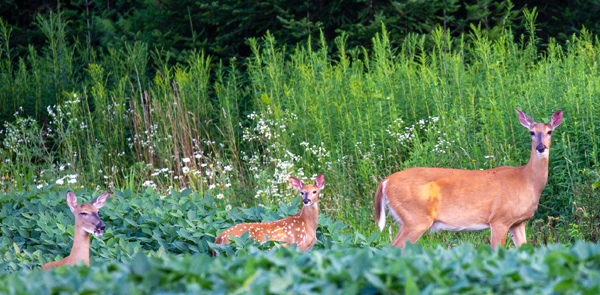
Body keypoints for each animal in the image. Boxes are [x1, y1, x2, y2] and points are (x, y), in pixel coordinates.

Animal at [376, 108, 564, 250]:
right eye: (531, 132)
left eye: (550, 131)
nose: (541, 147)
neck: (526, 179)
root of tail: (384, 182)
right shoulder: (499, 219)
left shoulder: (518, 223)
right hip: (416, 218)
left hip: (406, 220)